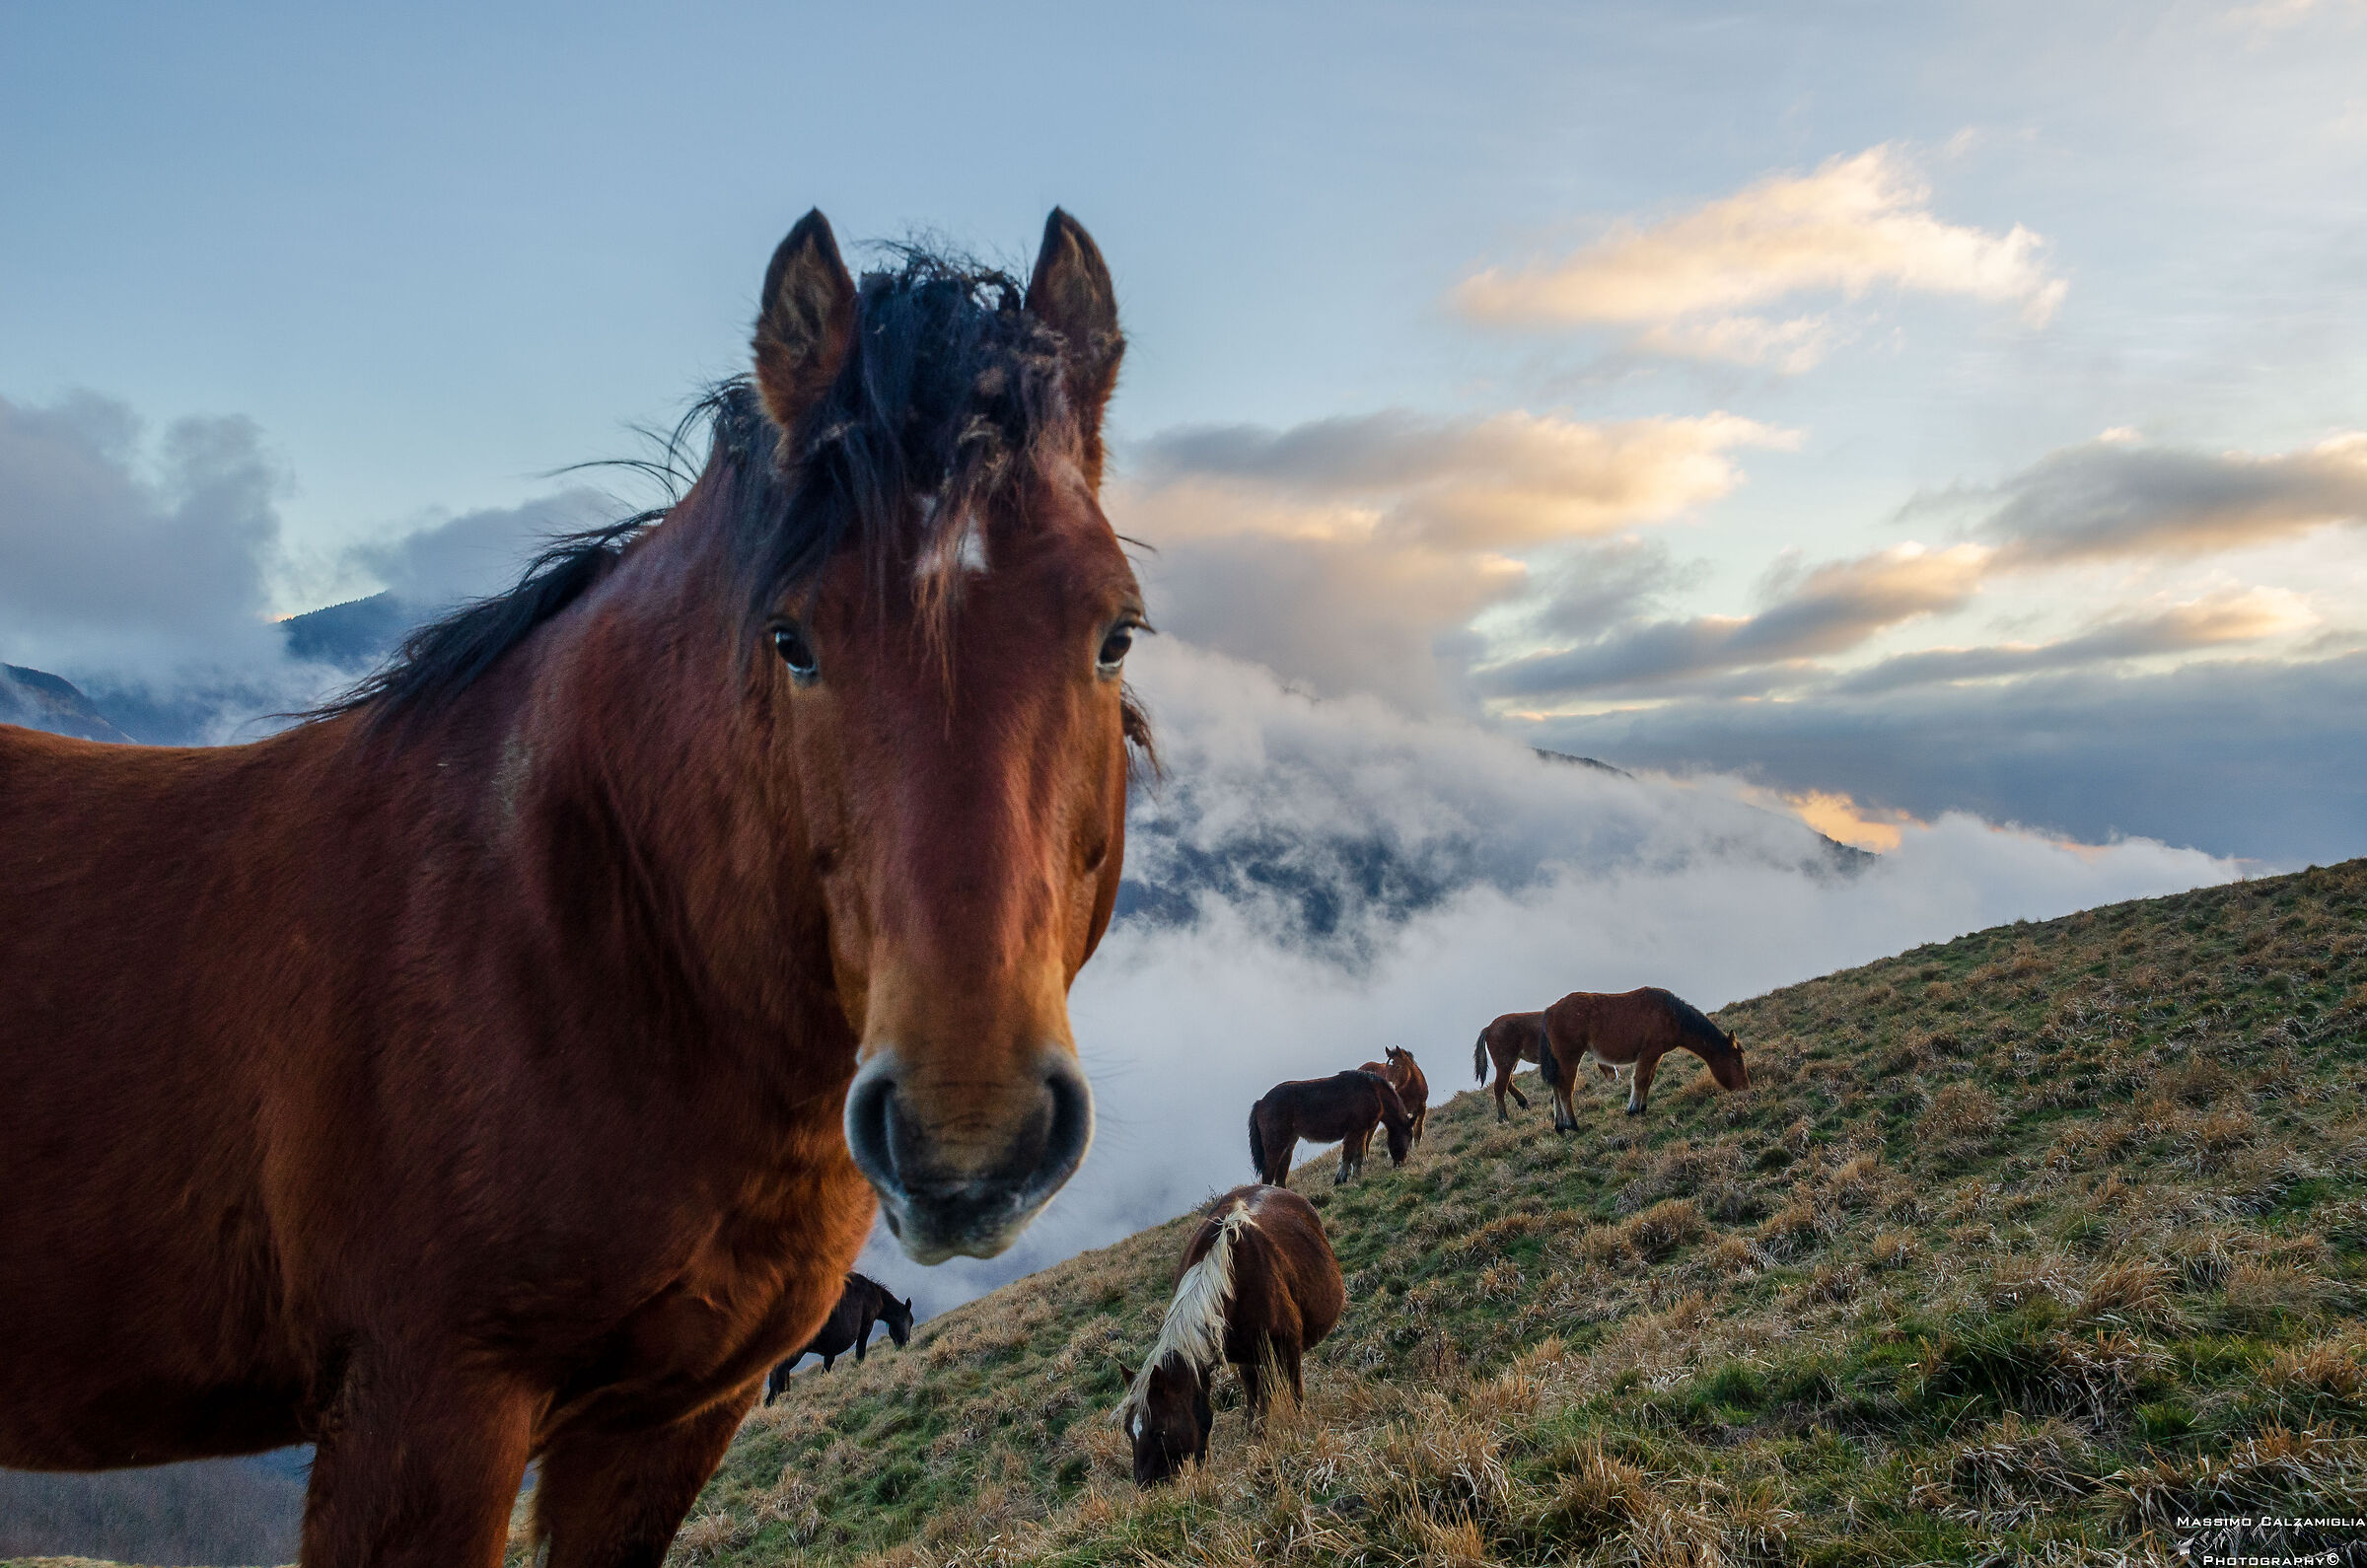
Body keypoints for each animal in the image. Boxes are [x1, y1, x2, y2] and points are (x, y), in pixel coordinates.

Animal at [763, 1274, 913, 1401]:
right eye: (910, 1321)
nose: (905, 1344)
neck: (874, 1294)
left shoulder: (831, 1346)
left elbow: (827, 1366)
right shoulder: (866, 1327)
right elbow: (860, 1352)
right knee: (777, 1377)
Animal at [1117, 1184, 1343, 1486]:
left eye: (1160, 1431)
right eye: (1130, 1431)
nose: (1145, 1484)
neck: (1230, 1280)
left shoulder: (1289, 1347)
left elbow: (1293, 1392)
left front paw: (1296, 1426)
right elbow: (1243, 1393)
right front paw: (1254, 1430)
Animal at [1248, 1070, 1412, 1187]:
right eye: (1409, 1138)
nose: (1400, 1163)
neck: (1374, 1091)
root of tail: (1261, 1102)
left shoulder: (1362, 1131)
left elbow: (1358, 1157)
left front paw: (1356, 1177)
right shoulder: (1355, 1131)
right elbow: (1347, 1155)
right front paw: (1340, 1179)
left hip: (1288, 1145)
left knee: (1281, 1176)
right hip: (1276, 1145)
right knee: (1268, 1174)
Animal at [1539, 987, 1749, 1128]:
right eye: (1737, 1061)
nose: (1745, 1087)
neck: (1672, 1015)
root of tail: (1549, 1011)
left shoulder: (1656, 1055)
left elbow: (1648, 1079)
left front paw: (1641, 1107)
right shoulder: (1649, 1053)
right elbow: (1640, 1079)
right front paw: (1633, 1109)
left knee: (1557, 1087)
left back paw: (1560, 1125)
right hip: (1569, 1058)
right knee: (1565, 1089)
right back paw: (1572, 1124)